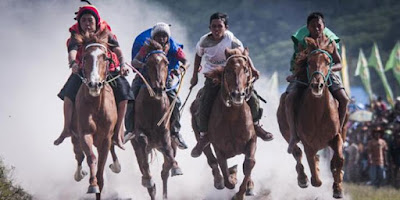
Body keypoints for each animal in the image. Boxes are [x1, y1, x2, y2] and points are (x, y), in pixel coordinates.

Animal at [69, 28, 120, 199]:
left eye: (105, 57)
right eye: (85, 57)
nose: (94, 84)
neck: (97, 108)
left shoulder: (105, 139)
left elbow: (101, 172)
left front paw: (98, 183)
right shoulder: (84, 133)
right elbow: (90, 157)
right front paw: (92, 185)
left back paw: (116, 165)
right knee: (78, 154)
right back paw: (79, 174)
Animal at [191, 48, 256, 200]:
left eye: (246, 69)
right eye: (227, 71)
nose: (237, 94)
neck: (232, 118)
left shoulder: (252, 139)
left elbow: (249, 163)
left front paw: (241, 192)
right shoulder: (219, 148)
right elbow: (227, 177)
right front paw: (231, 178)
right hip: (200, 137)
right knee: (211, 159)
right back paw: (218, 180)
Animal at [278, 37, 346, 198]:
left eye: (328, 62)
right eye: (309, 62)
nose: (317, 85)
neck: (319, 114)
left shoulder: (336, 137)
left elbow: (339, 159)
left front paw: (338, 187)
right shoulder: (308, 143)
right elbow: (316, 180)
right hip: (287, 133)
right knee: (296, 152)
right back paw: (302, 178)